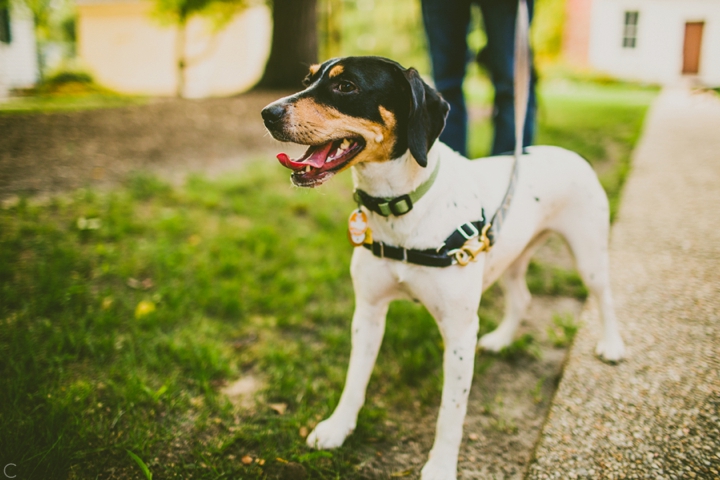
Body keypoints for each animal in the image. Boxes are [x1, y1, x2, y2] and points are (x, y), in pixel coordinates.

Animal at [260, 57, 624, 480]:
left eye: (346, 86)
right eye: (308, 79)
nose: (268, 113)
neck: (401, 210)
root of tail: (566, 153)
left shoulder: (459, 332)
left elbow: (451, 413)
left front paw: (440, 465)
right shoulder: (368, 313)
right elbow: (354, 380)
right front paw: (337, 427)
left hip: (588, 255)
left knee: (604, 296)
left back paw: (612, 346)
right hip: (510, 255)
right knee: (522, 297)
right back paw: (502, 339)